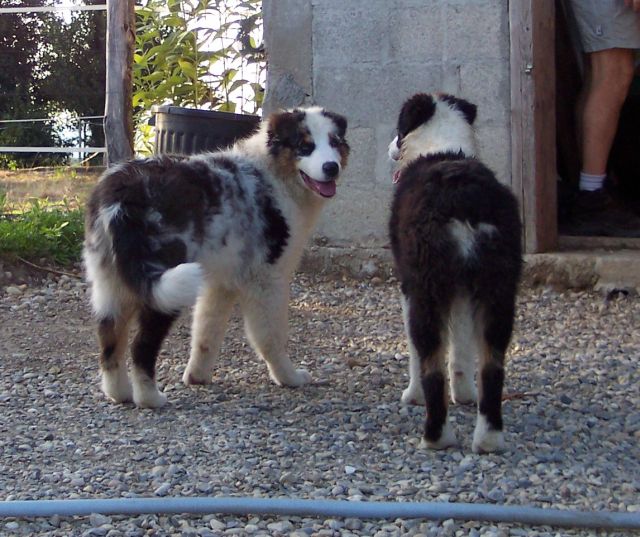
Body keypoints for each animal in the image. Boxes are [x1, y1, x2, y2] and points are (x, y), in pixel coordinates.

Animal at [85, 105, 350, 406]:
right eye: (305, 146)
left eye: (335, 143)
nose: (331, 167)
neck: (272, 173)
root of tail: (121, 197)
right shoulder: (267, 280)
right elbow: (270, 337)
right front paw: (288, 377)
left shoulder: (220, 285)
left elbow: (206, 332)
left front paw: (197, 377)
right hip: (164, 286)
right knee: (141, 345)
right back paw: (151, 398)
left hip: (112, 282)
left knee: (109, 340)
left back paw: (119, 393)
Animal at [388, 93, 524, 452]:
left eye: (398, 126)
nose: (391, 147)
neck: (442, 144)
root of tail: (463, 195)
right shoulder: (464, 292)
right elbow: (461, 350)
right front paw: (463, 395)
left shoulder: (408, 287)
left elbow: (418, 354)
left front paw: (412, 396)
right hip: (498, 291)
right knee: (492, 367)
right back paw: (489, 438)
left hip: (428, 290)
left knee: (431, 364)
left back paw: (436, 436)